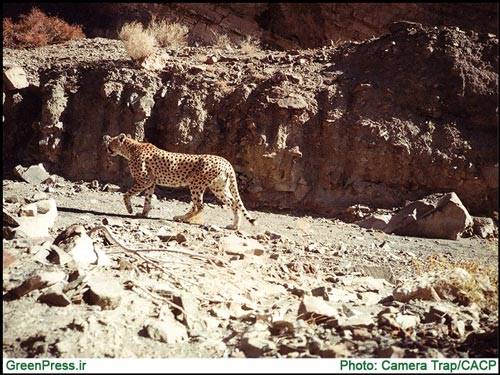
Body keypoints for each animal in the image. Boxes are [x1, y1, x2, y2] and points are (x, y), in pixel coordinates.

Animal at [103, 134, 256, 231]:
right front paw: (143, 214)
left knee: (200, 206)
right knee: (233, 202)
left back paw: (182, 218)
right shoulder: (151, 182)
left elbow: (127, 194)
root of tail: (225, 161)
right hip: (218, 187)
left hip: (196, 184)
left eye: (110, 144)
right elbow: (147, 199)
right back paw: (235, 226)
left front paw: (129, 209)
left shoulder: (144, 179)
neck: (131, 148)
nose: (107, 150)